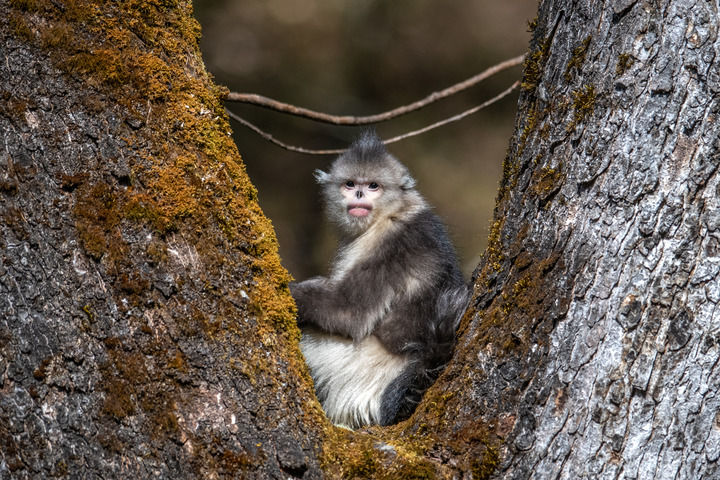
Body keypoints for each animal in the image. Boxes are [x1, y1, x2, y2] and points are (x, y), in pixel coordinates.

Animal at [290, 130, 470, 428]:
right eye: (350, 184)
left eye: (373, 186)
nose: (359, 193)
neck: (391, 212)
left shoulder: (389, 246)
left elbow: (349, 314)